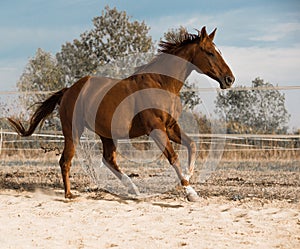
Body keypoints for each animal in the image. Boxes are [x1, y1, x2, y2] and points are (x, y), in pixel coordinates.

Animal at [8, 26, 234, 200]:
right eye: (210, 52)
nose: (229, 79)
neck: (161, 84)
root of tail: (68, 90)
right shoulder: (156, 129)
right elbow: (173, 157)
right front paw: (190, 192)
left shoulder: (170, 127)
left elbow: (192, 145)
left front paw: (188, 175)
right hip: (73, 131)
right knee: (66, 160)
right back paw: (70, 194)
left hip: (106, 134)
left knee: (108, 159)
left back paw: (133, 189)